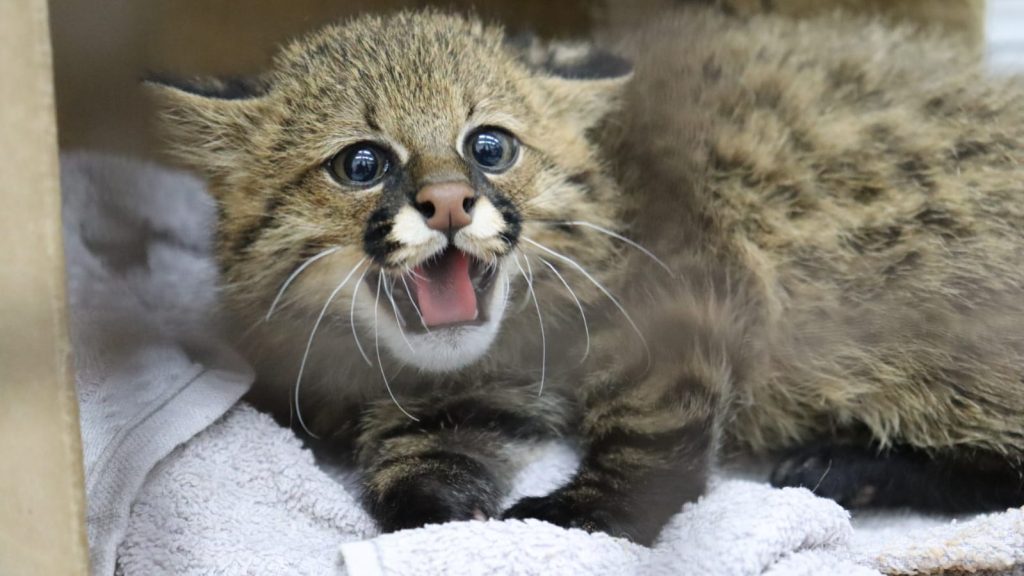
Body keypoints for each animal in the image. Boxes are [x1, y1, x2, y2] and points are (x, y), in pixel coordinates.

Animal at [149, 6, 1024, 541]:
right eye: (361, 164)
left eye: (490, 146)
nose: (448, 203)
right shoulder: (458, 385)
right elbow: (421, 448)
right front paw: (430, 505)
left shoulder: (693, 289)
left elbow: (649, 438)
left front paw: (571, 516)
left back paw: (853, 467)